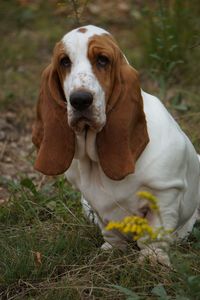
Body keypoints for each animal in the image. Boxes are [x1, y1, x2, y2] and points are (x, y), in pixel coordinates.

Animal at [32, 25, 200, 264]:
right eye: (64, 61)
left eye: (103, 60)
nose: (80, 100)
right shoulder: (95, 206)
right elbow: (110, 231)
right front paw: (112, 250)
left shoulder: (166, 192)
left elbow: (155, 232)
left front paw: (152, 259)